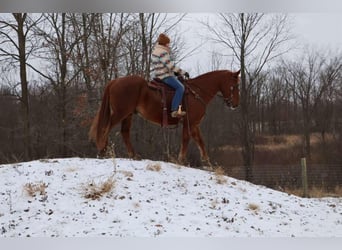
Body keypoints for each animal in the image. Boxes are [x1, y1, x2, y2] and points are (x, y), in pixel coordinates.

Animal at [88, 69, 240, 165]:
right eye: (234, 85)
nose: (235, 104)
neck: (196, 92)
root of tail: (114, 82)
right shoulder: (189, 123)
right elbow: (186, 139)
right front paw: (181, 160)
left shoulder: (194, 124)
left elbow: (200, 141)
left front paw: (207, 163)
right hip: (120, 113)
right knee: (106, 128)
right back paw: (103, 151)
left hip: (128, 114)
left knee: (125, 133)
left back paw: (133, 155)